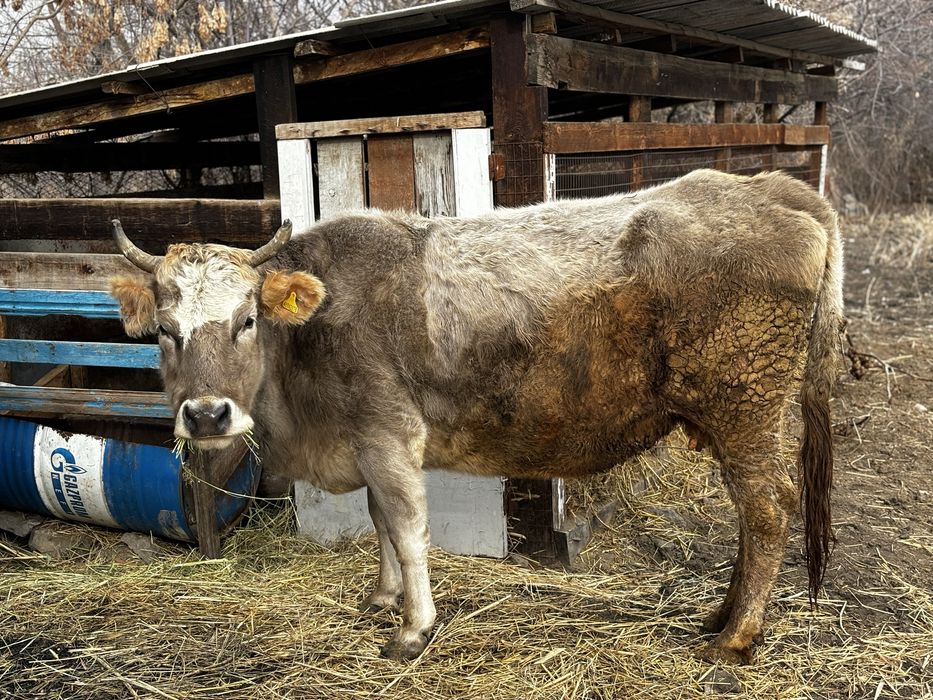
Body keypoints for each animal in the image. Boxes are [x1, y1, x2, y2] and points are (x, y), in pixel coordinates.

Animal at [109, 169, 843, 664]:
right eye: (166, 331)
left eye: (247, 320)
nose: (207, 415)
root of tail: (769, 188)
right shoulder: (368, 444)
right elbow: (379, 522)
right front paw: (383, 598)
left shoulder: (388, 433)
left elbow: (406, 528)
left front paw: (413, 628)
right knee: (752, 514)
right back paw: (719, 614)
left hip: (745, 406)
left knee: (768, 508)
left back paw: (736, 636)